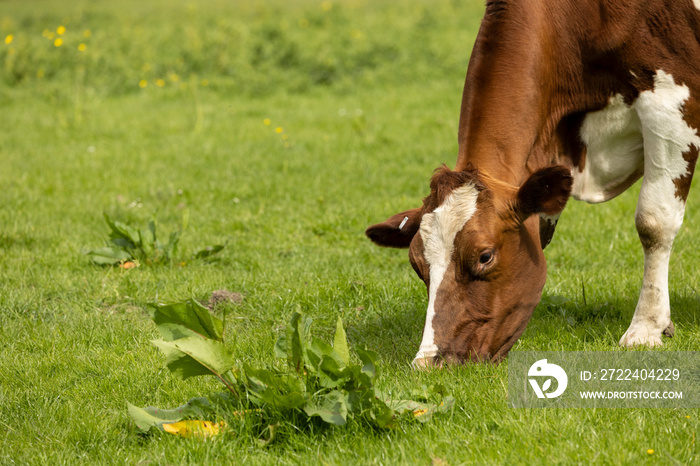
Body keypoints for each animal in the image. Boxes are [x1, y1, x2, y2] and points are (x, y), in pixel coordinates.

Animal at [366, 0, 700, 364]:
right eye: (416, 264)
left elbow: (654, 223)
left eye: (485, 256)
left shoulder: (670, 102)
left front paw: (646, 327)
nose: (428, 362)